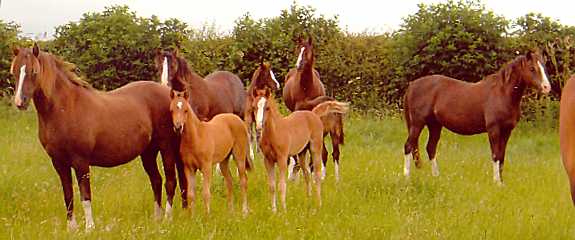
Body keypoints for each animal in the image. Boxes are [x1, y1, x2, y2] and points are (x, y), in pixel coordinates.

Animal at [11, 44, 182, 232]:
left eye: (34, 71)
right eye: (14, 72)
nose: (20, 102)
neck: (65, 108)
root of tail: (170, 94)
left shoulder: (81, 162)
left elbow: (85, 196)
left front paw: (89, 228)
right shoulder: (59, 163)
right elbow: (68, 196)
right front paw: (72, 229)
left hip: (166, 149)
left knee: (170, 181)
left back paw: (166, 220)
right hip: (148, 153)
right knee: (156, 181)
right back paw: (156, 219)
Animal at [284, 36, 346, 181]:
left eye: (307, 51)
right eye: (298, 50)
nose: (298, 65)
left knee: (325, 153)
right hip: (334, 132)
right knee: (335, 153)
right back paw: (336, 180)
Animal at [402, 49, 552, 184]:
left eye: (544, 68)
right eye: (532, 68)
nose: (547, 87)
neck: (502, 93)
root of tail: (412, 85)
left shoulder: (507, 131)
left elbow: (502, 155)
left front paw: (502, 182)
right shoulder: (494, 130)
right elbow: (495, 155)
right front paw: (496, 182)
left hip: (435, 125)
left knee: (430, 148)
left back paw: (436, 177)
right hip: (418, 123)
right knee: (409, 146)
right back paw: (407, 176)